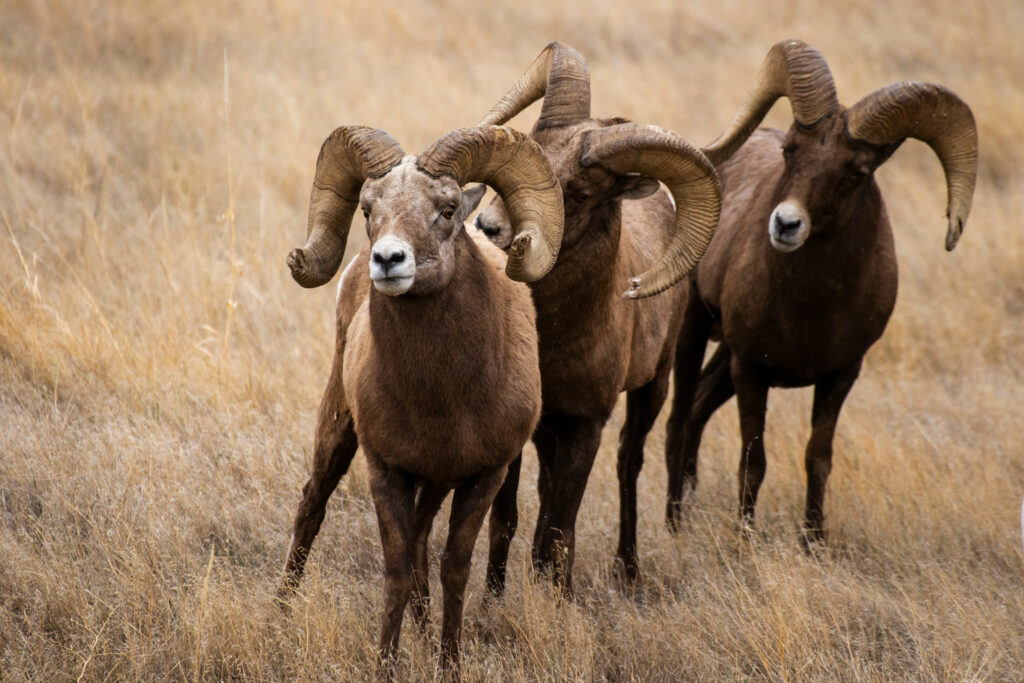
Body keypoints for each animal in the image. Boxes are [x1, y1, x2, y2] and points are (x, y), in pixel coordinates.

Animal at [284, 122, 565, 671]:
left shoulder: (485, 476)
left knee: (419, 541)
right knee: (312, 506)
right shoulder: (385, 469)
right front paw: (386, 666)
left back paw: (421, 628)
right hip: (339, 426)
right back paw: (277, 616)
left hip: (433, 484)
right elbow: (394, 570)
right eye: (367, 209)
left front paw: (448, 662)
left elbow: (453, 569)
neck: (443, 400)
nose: (389, 260)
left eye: (449, 209)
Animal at [471, 42, 720, 589]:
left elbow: (562, 533)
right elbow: (506, 520)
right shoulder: (525, 427)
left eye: (580, 193)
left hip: (653, 390)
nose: (490, 227)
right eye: (532, 148)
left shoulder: (587, 426)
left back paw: (628, 570)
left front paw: (558, 597)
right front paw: (494, 596)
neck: (555, 340)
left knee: (629, 465)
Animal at [663, 40, 974, 540]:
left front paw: (813, 540)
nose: (786, 224)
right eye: (790, 149)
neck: (810, 309)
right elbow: (753, 461)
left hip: (724, 355)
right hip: (694, 332)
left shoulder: (840, 375)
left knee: (696, 411)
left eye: (856, 171)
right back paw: (675, 522)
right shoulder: (752, 371)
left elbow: (818, 459)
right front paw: (745, 538)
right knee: (678, 420)